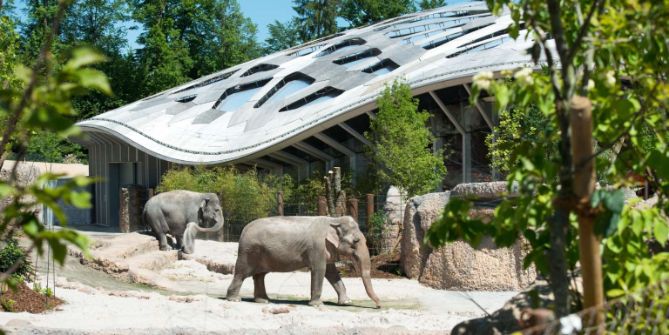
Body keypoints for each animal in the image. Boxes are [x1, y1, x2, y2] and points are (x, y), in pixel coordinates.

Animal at [226, 217, 378, 308]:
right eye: (356, 241)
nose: (378, 306)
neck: (334, 219)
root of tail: (244, 230)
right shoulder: (317, 248)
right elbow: (320, 270)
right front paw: (317, 304)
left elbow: (332, 272)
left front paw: (346, 302)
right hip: (248, 252)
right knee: (241, 273)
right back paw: (234, 299)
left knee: (259, 275)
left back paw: (263, 301)